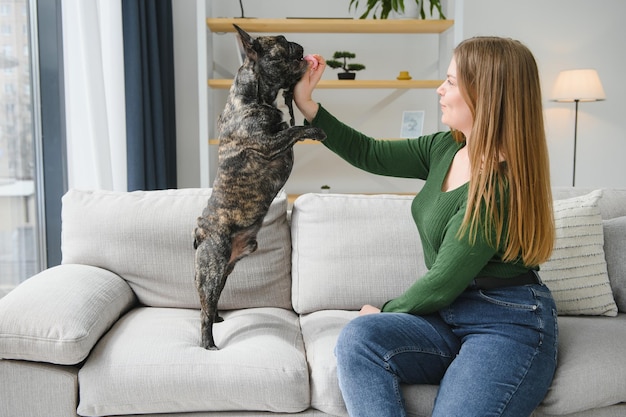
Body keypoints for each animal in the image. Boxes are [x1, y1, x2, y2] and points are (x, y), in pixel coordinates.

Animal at [193, 23, 324, 348]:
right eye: (282, 42)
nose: (299, 45)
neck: (255, 96)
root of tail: (200, 231)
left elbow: (291, 120)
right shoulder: (266, 143)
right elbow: (294, 129)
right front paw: (316, 130)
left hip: (224, 271)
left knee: (213, 301)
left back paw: (217, 317)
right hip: (212, 270)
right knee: (203, 310)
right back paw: (209, 343)